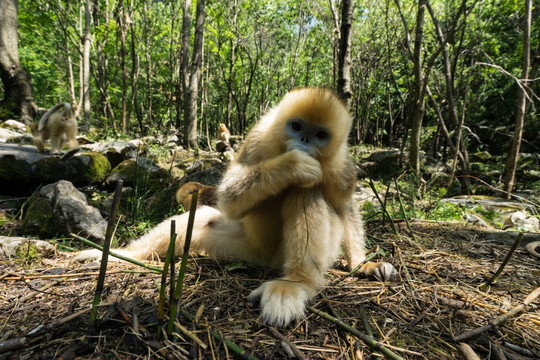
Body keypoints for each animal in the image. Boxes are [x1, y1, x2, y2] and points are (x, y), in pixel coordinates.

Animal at [71, 87, 398, 326]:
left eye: (320, 135)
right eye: (296, 126)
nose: (304, 141)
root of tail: (268, 262)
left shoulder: (342, 167)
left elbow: (344, 207)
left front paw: (362, 264)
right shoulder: (258, 137)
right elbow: (229, 197)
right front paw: (294, 165)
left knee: (307, 193)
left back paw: (295, 284)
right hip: (243, 249)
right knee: (204, 217)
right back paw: (120, 255)